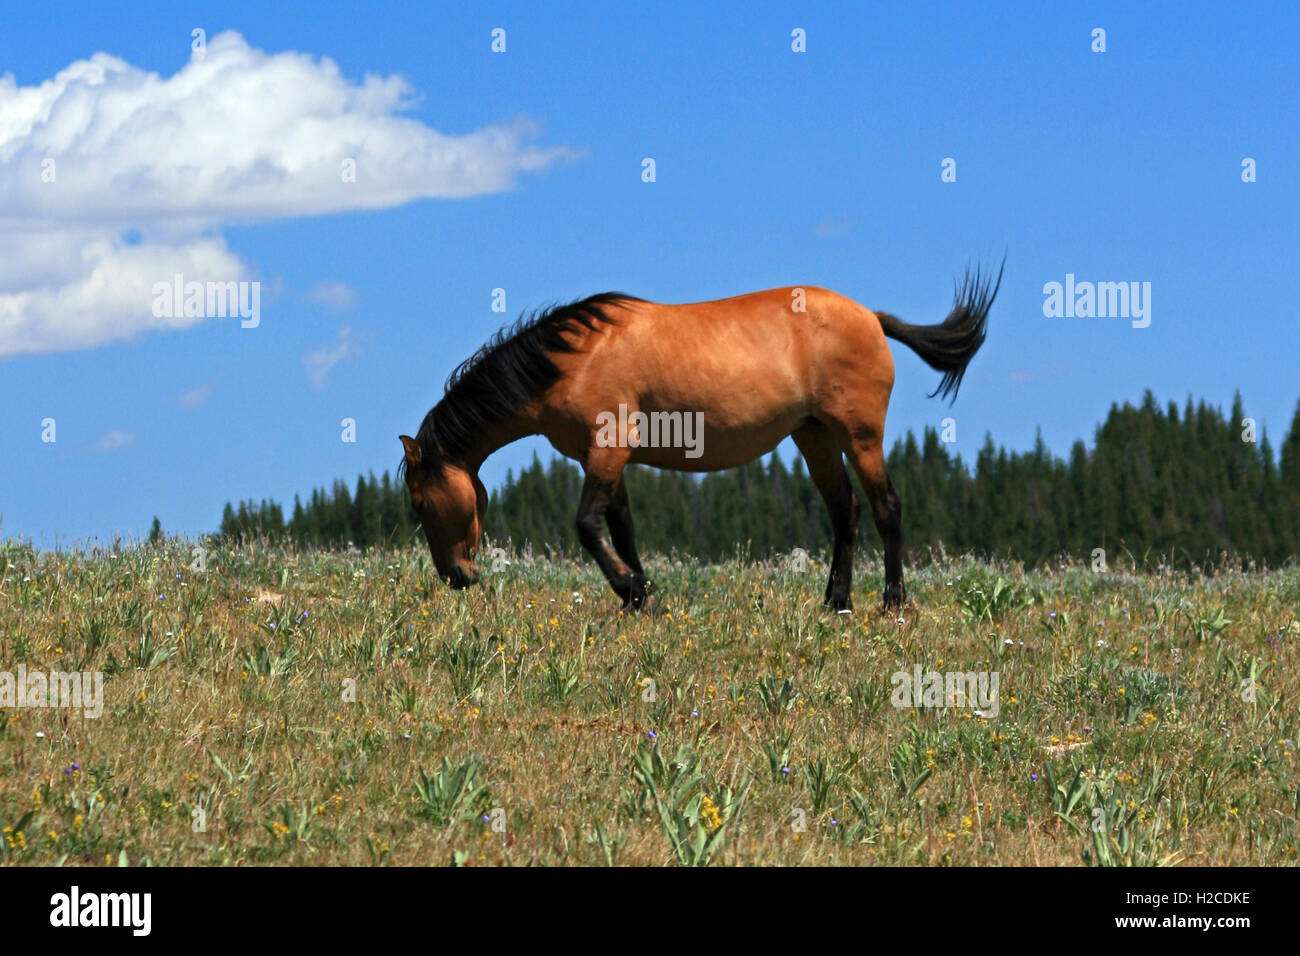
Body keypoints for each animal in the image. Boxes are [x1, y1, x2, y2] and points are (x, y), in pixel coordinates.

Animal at [399, 263, 1001, 612]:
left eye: (420, 503)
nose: (456, 578)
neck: (572, 359)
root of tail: (872, 318)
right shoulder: (607, 459)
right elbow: (622, 529)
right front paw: (639, 598)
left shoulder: (608, 448)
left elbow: (588, 526)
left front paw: (632, 590)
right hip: (814, 437)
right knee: (843, 510)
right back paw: (836, 601)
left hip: (859, 433)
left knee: (886, 507)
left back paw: (892, 601)